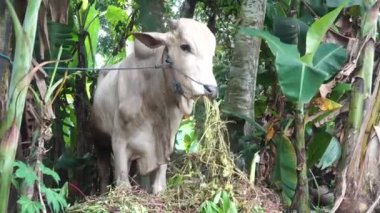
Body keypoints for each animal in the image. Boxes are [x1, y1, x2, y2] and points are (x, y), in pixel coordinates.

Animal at [91, 18, 217, 194]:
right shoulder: (119, 141)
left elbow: (159, 182)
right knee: (103, 172)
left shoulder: (166, 143)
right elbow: (123, 183)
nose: (211, 89)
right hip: (99, 140)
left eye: (212, 53)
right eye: (185, 47)